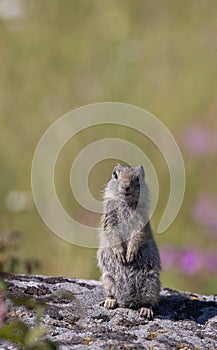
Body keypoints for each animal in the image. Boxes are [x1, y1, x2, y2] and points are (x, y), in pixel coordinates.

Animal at [97, 164, 160, 320]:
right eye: (115, 175)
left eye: (138, 177)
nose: (126, 186)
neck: (126, 203)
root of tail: (129, 302)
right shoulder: (110, 219)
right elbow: (111, 233)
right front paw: (121, 254)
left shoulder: (141, 221)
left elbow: (138, 235)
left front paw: (130, 253)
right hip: (107, 278)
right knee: (111, 294)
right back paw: (109, 302)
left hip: (152, 283)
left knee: (150, 301)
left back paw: (145, 310)